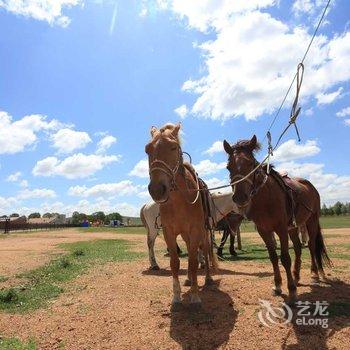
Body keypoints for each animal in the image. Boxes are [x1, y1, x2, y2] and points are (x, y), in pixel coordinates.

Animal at [145, 123, 216, 308]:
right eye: (147, 150)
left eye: (173, 147)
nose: (157, 189)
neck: (179, 202)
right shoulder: (169, 232)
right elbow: (175, 263)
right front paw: (176, 297)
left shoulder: (195, 231)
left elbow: (193, 262)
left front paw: (195, 296)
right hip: (185, 235)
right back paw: (189, 280)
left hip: (203, 233)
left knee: (205, 252)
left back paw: (207, 279)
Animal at [224, 135, 330, 302]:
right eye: (229, 167)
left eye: (251, 164)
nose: (240, 197)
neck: (267, 198)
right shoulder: (264, 231)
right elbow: (273, 257)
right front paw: (278, 285)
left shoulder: (280, 229)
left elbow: (285, 258)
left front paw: (291, 290)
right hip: (293, 227)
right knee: (298, 248)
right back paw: (296, 276)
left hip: (311, 221)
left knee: (312, 246)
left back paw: (314, 274)